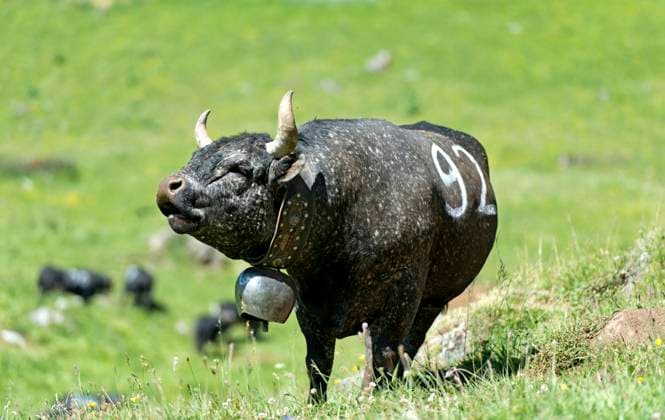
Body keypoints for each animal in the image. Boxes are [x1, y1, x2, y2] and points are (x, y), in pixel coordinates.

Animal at [156, 91, 497, 401]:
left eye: (239, 168)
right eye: (193, 159)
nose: (168, 187)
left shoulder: (404, 291)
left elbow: (384, 352)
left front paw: (371, 399)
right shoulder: (309, 306)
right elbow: (318, 362)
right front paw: (315, 403)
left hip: (432, 300)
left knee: (408, 344)